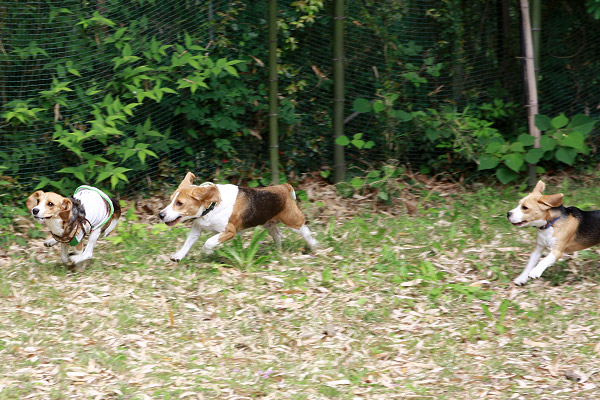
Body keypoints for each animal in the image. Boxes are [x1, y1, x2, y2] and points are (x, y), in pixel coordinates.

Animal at [158, 173, 318, 262]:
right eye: (171, 200)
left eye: (179, 203)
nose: (160, 215)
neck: (211, 207)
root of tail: (283, 188)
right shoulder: (197, 228)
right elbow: (187, 243)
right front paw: (179, 256)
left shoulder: (229, 231)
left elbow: (209, 242)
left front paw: (207, 252)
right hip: (269, 224)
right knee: (278, 235)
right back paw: (278, 251)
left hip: (293, 221)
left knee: (305, 231)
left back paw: (313, 245)